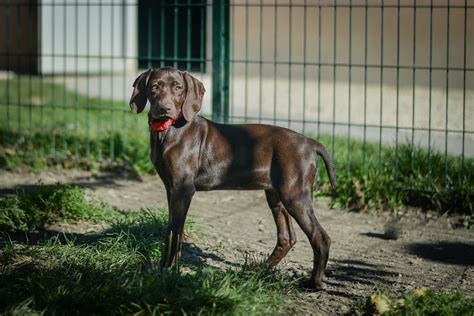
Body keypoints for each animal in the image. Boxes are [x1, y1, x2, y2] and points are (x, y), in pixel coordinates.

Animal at [130, 68, 336, 290]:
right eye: (154, 86)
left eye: (178, 87)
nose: (164, 108)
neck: (170, 131)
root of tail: (310, 142)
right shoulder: (171, 188)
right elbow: (171, 229)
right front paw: (161, 268)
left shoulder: (183, 189)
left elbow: (176, 232)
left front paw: (171, 272)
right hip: (275, 195)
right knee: (287, 238)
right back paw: (259, 271)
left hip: (294, 195)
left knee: (320, 237)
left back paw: (314, 283)